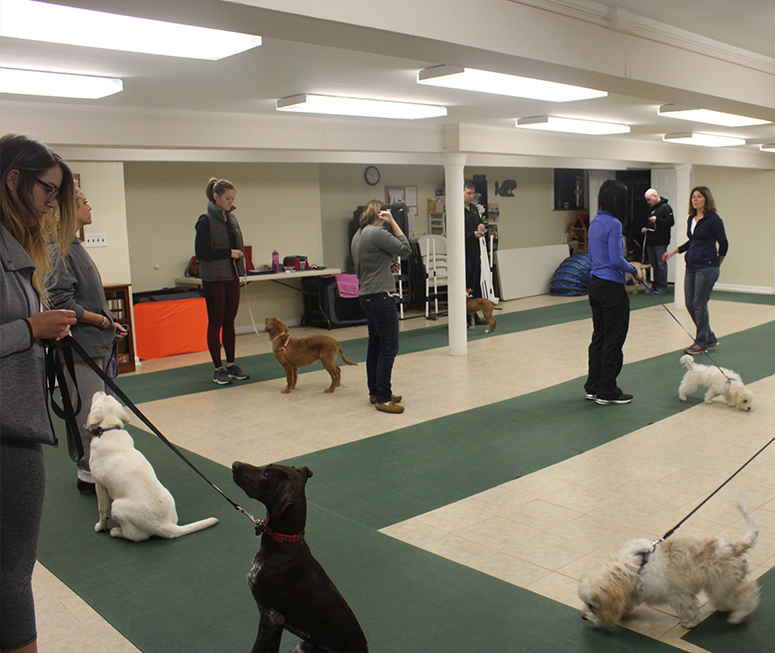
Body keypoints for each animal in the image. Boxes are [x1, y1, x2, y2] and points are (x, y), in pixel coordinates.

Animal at [89, 392, 220, 540]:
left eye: (100, 399)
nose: (101, 391)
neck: (110, 429)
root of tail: (165, 525)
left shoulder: (99, 484)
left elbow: (102, 510)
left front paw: (100, 527)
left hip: (116, 506)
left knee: (135, 536)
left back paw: (116, 532)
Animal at [580, 496, 760, 628]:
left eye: (592, 605)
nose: (583, 617)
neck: (636, 567)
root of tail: (733, 547)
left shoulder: (676, 594)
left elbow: (688, 608)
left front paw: (690, 623)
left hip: (722, 587)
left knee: (749, 593)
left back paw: (738, 615)